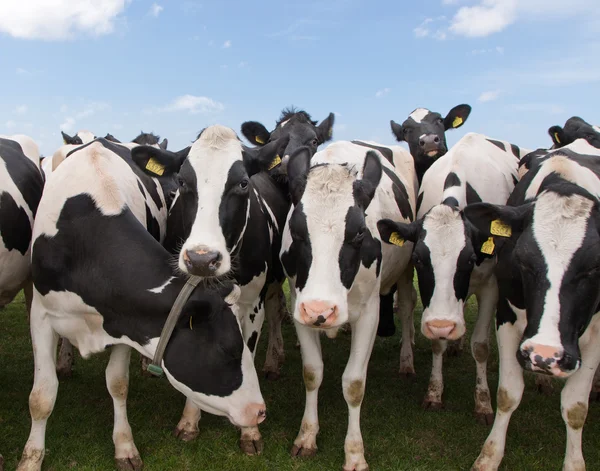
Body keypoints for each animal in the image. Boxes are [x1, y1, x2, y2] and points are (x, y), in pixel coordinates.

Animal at [18, 137, 264, 471]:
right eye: (228, 350)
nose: (260, 411)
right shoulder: (41, 315)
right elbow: (41, 396)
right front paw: (31, 458)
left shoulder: (127, 323)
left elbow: (118, 383)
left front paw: (124, 447)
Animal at [131, 124, 290, 454]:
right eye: (182, 182)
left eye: (243, 183)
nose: (202, 259)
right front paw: (190, 420)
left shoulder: (251, 304)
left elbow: (247, 353)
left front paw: (250, 431)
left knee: (276, 309)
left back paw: (273, 360)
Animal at [278, 140, 414, 471]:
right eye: (297, 231)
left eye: (359, 232)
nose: (320, 310)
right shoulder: (299, 306)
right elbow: (312, 372)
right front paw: (307, 436)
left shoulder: (370, 314)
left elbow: (353, 383)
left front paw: (354, 453)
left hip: (406, 271)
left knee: (407, 309)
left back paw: (407, 359)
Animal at [378, 133, 528, 424]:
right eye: (419, 260)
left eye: (469, 259)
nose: (444, 325)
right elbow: (436, 343)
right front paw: (434, 393)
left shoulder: (491, 285)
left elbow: (480, 345)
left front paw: (483, 403)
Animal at [466, 138, 600, 470]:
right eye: (523, 261)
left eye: (593, 267)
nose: (545, 354)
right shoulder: (507, 314)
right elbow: (508, 393)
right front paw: (489, 456)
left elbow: (575, 407)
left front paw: (574, 463)